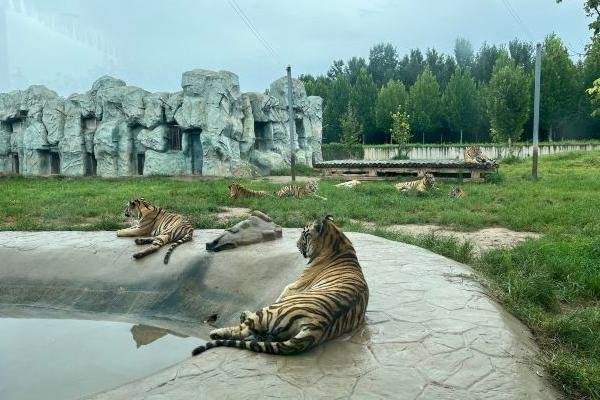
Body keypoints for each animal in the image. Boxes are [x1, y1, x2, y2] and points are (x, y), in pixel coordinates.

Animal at [192, 216, 370, 356]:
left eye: (303, 234)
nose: (297, 244)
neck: (339, 242)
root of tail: (317, 326)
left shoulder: (292, 287)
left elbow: (280, 294)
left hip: (270, 310)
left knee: (244, 329)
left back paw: (219, 331)